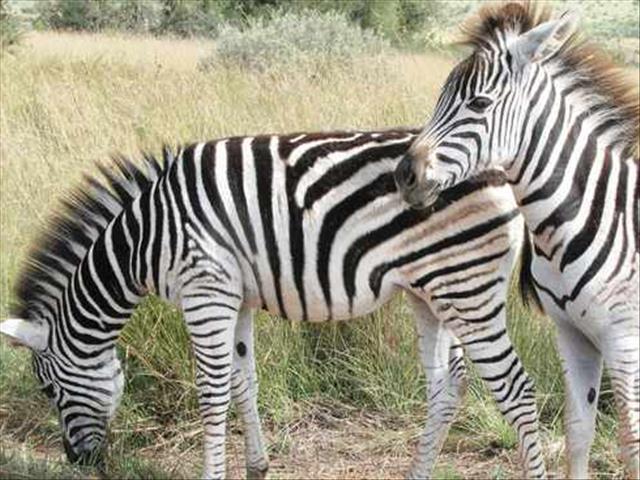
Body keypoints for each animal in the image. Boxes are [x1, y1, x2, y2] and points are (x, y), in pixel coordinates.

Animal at [1, 128, 546, 479]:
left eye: (48, 390)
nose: (78, 462)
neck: (144, 238)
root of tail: (503, 174)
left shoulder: (205, 291)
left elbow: (212, 392)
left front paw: (215, 474)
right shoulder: (235, 295)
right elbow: (244, 381)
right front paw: (257, 466)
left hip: (466, 288)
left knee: (516, 389)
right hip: (432, 291)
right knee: (448, 382)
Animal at [394, 2, 639, 478]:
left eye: (479, 103)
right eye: (439, 97)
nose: (403, 176)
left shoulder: (624, 338)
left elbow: (631, 443)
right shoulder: (572, 332)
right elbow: (578, 431)